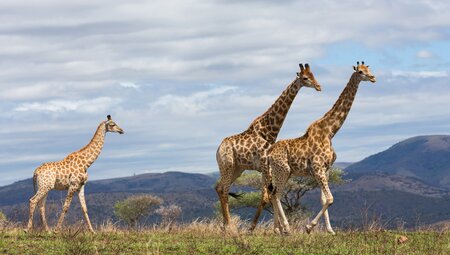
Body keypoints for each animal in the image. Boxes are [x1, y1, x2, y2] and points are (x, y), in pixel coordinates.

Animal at [216, 63, 322, 229]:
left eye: (313, 75)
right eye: (305, 78)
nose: (318, 86)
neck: (269, 131)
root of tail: (218, 149)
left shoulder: (267, 168)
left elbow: (269, 195)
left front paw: (277, 228)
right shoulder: (266, 166)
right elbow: (267, 196)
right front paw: (253, 227)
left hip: (237, 169)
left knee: (219, 188)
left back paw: (224, 226)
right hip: (227, 166)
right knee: (224, 190)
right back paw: (230, 227)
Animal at [268, 61, 376, 235]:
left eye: (369, 69)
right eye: (360, 72)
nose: (373, 78)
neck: (330, 132)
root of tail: (269, 154)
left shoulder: (326, 169)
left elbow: (324, 199)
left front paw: (330, 230)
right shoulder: (318, 168)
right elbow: (331, 198)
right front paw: (309, 227)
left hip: (285, 172)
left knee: (272, 194)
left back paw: (277, 229)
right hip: (282, 170)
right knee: (276, 194)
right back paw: (286, 228)